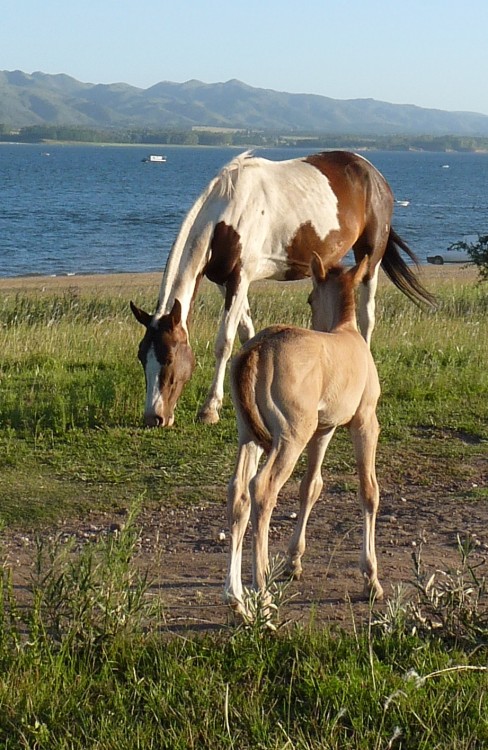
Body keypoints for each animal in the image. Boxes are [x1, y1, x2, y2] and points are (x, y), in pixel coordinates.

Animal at [131, 150, 434, 428]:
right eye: (142, 356)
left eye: (169, 358)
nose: (154, 417)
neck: (227, 218)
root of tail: (374, 174)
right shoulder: (224, 282)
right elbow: (246, 335)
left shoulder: (240, 277)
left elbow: (224, 342)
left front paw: (210, 409)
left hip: (370, 257)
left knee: (366, 318)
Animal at [224, 256, 382, 620]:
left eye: (310, 298)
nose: (313, 317)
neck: (348, 333)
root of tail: (259, 348)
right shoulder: (365, 422)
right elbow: (369, 491)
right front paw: (371, 579)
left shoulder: (323, 429)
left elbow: (311, 487)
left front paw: (294, 561)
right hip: (290, 437)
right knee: (262, 489)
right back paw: (263, 595)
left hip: (249, 436)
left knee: (239, 493)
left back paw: (236, 597)